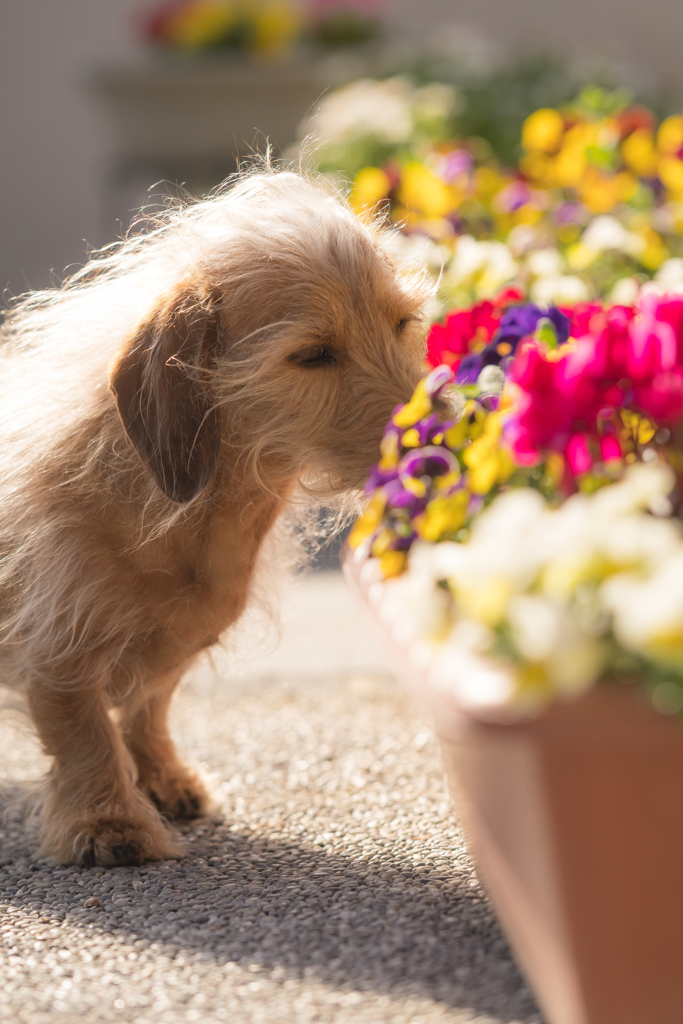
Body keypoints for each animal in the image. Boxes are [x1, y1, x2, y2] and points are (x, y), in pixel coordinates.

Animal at [0, 169, 430, 864]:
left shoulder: (180, 639)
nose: (449, 429)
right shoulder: (59, 654)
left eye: (402, 322)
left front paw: (164, 776)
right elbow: (85, 733)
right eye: (312, 354)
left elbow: (149, 708)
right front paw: (108, 820)